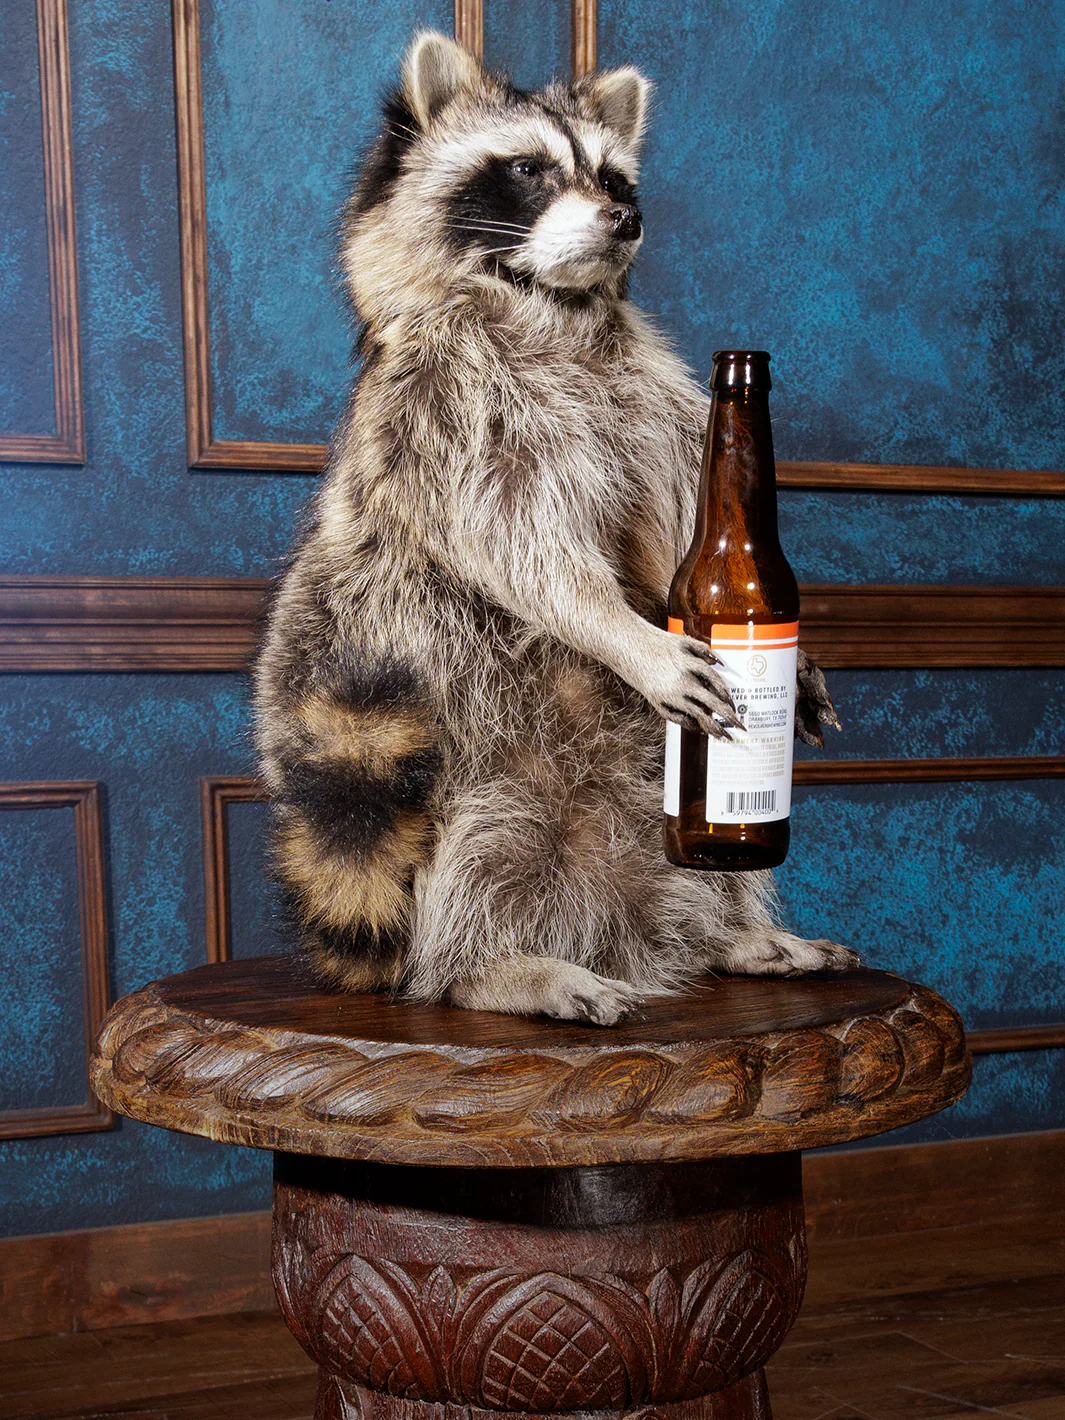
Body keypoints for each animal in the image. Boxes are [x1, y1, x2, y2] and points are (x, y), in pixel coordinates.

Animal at [253, 31, 857, 1024]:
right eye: (528, 168)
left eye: (613, 177)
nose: (624, 218)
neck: (550, 308)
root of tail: (613, 929)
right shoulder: (445, 408)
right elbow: (519, 545)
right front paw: (620, 631)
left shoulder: (652, 400)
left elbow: (673, 507)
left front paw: (795, 658)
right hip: (457, 773)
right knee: (471, 858)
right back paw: (490, 966)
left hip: (654, 805)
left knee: (705, 869)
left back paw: (730, 935)